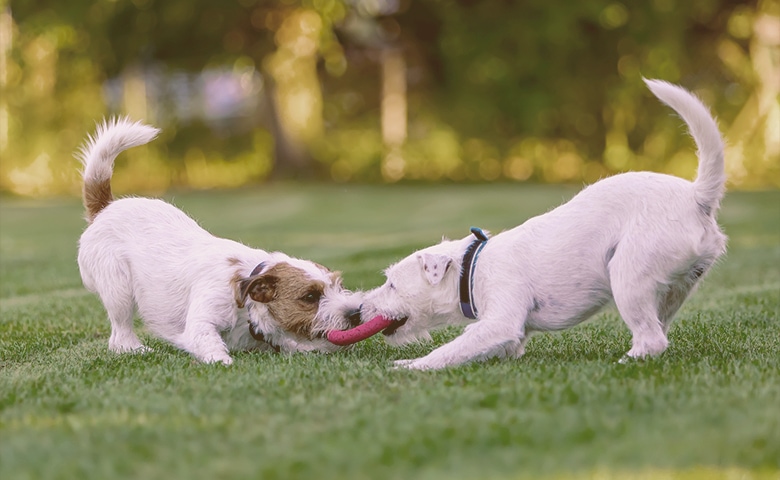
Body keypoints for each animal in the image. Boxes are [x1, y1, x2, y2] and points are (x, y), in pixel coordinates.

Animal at [76, 119, 362, 364]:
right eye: (310, 296)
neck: (246, 299)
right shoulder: (202, 321)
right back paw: (135, 349)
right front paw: (222, 361)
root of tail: (105, 207)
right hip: (119, 291)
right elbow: (208, 342)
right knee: (119, 334)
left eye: (339, 285)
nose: (355, 313)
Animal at [362, 80, 728, 370]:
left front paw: (410, 365)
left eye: (392, 284)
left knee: (651, 340)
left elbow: (449, 350)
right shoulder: (508, 337)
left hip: (628, 275)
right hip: (672, 290)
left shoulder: (500, 322)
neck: (471, 267)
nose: (361, 307)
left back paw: (623, 362)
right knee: (658, 332)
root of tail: (697, 196)